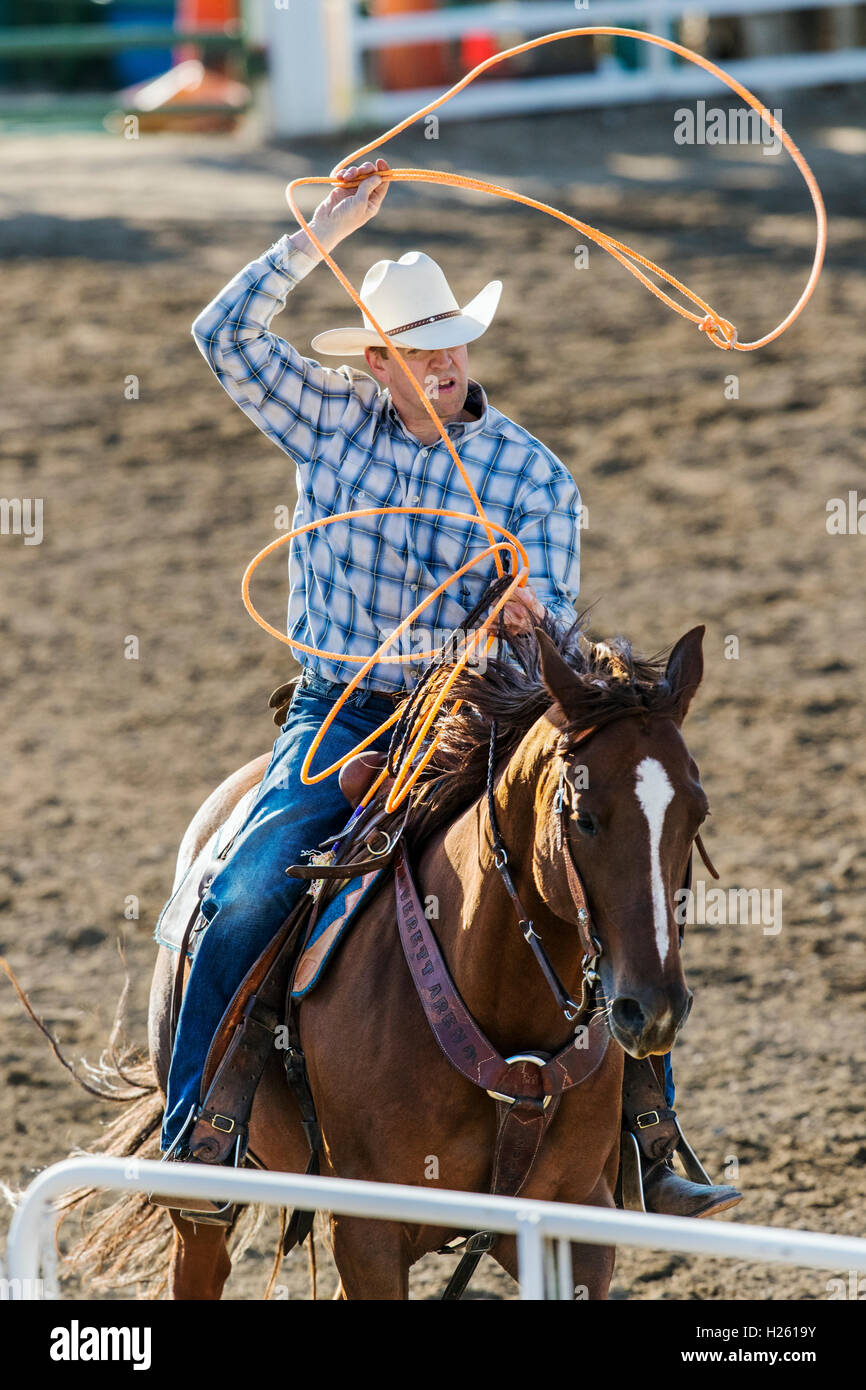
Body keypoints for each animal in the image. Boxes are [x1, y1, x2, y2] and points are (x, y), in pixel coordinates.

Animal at [76, 614, 711, 1295]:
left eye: (697, 814)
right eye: (585, 818)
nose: (654, 1009)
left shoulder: (578, 1223)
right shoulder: (366, 1234)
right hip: (203, 1204)